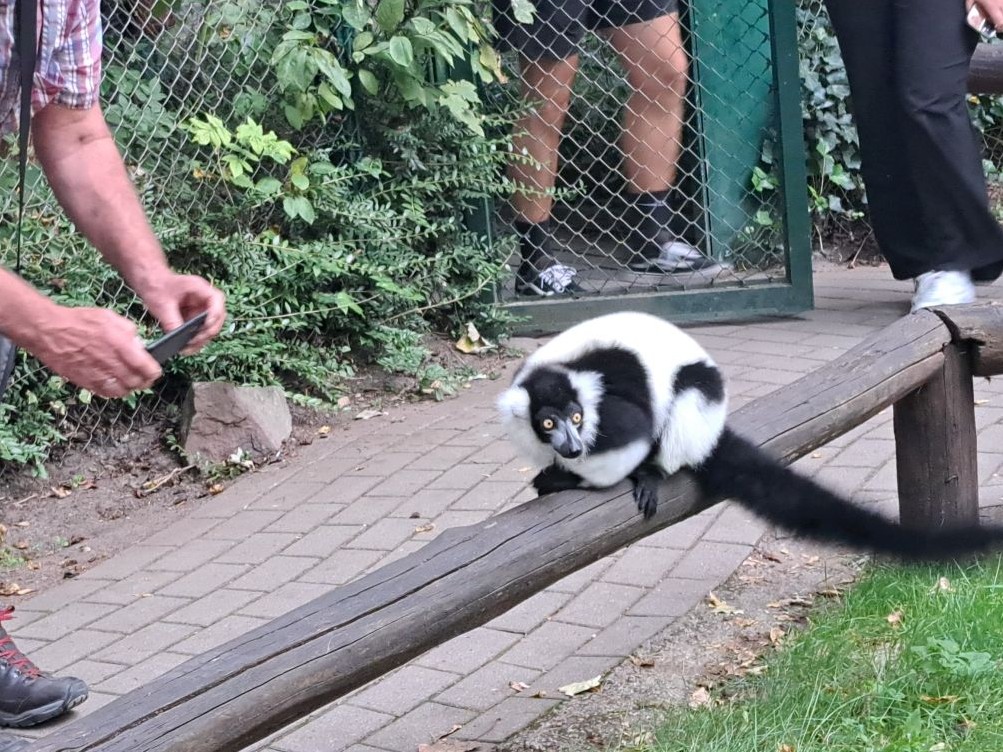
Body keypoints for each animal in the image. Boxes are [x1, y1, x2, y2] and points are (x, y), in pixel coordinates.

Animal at [497, 310, 1003, 561]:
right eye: (549, 423)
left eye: (577, 417)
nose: (571, 446)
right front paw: (556, 470)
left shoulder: (614, 401)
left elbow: (632, 434)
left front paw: (570, 479)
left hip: (696, 411)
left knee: (688, 392)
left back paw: (655, 471)